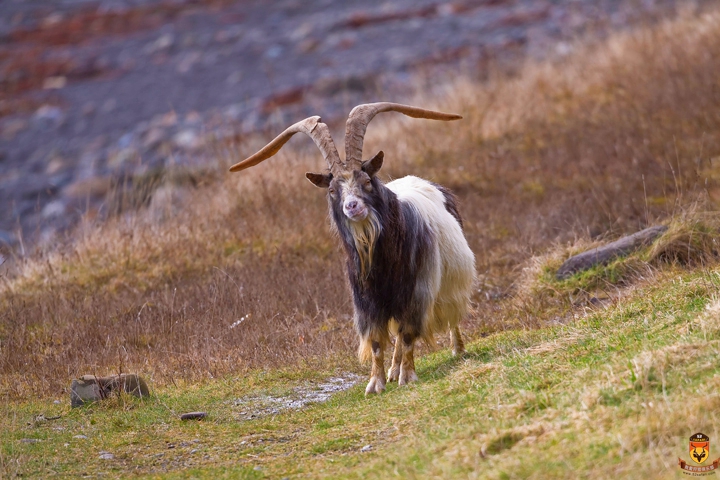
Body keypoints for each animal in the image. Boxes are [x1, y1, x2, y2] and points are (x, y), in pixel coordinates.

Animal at [231, 103, 476, 396]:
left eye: (366, 180)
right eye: (332, 190)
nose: (352, 206)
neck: (381, 261)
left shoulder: (416, 292)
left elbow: (407, 335)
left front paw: (408, 376)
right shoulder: (368, 303)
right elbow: (377, 343)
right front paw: (376, 383)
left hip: (449, 283)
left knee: (449, 316)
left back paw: (457, 350)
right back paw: (393, 370)